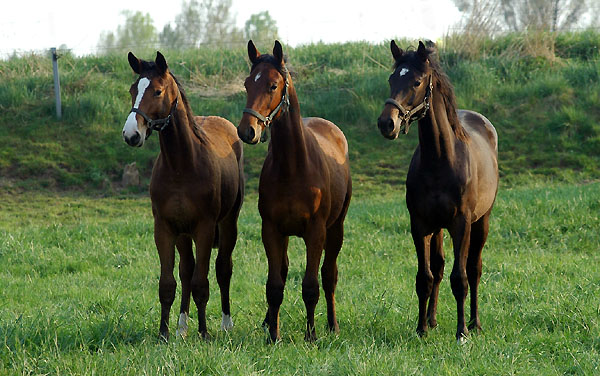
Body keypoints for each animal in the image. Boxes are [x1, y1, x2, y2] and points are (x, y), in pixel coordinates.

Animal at [122, 50, 244, 340]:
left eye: (157, 91)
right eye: (133, 90)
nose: (131, 134)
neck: (181, 166)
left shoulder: (204, 228)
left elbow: (202, 282)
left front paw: (204, 332)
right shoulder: (165, 228)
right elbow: (168, 283)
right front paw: (164, 333)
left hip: (228, 224)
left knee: (223, 268)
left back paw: (225, 323)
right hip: (183, 234)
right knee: (187, 270)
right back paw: (181, 326)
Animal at [238, 39, 352, 342]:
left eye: (272, 85)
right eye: (247, 84)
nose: (247, 131)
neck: (293, 167)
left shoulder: (316, 231)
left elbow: (311, 285)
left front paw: (311, 335)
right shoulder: (271, 229)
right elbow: (274, 285)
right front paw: (273, 335)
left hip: (336, 229)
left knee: (329, 275)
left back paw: (333, 325)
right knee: (284, 270)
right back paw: (269, 321)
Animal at [378, 40, 500, 340]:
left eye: (417, 81)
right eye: (391, 79)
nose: (387, 123)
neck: (440, 160)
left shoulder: (461, 223)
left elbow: (461, 278)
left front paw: (461, 333)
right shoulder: (421, 224)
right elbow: (425, 277)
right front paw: (421, 328)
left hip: (482, 221)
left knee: (474, 269)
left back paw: (475, 323)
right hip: (438, 229)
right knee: (439, 266)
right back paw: (432, 321)